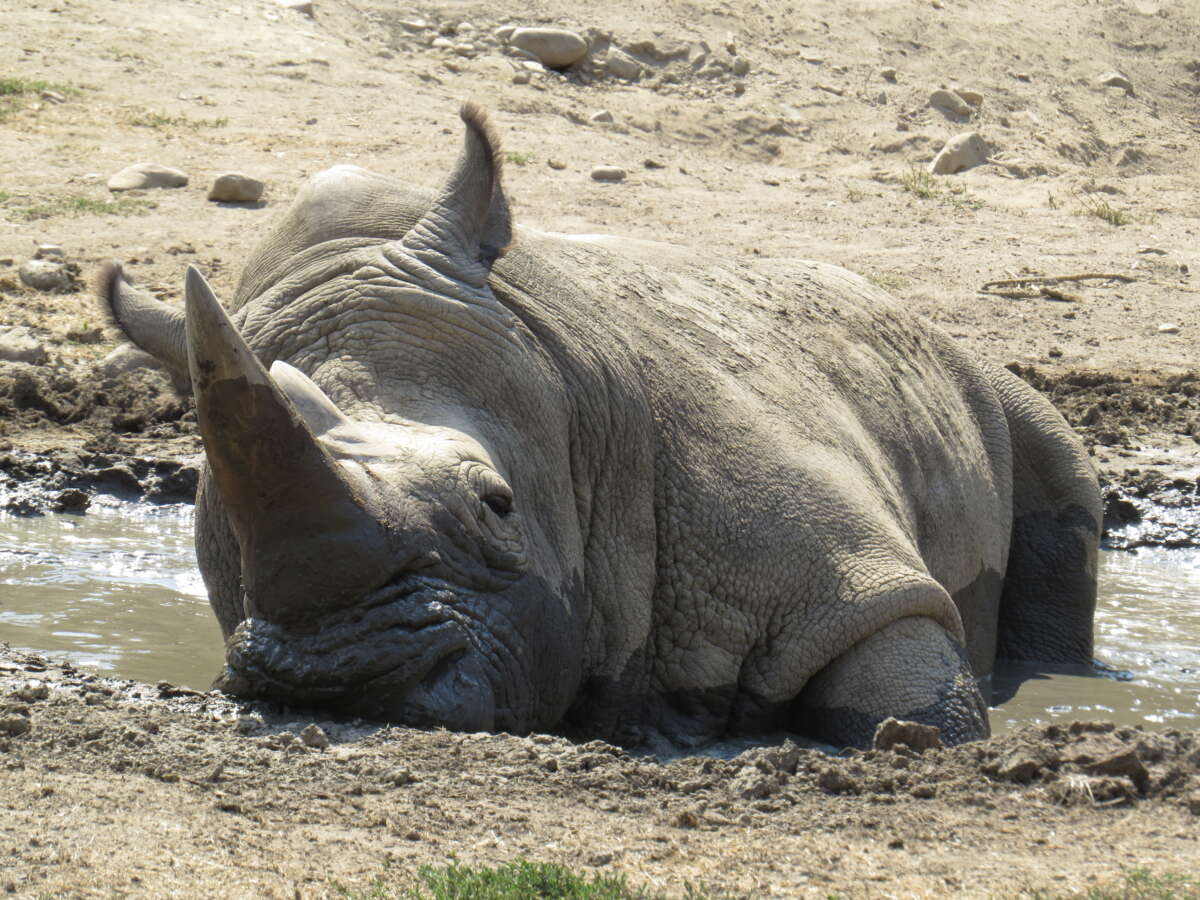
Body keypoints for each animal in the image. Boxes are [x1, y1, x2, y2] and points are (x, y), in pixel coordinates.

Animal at [99, 104, 1100, 749]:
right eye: (228, 546)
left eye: (499, 505)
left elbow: (915, 702)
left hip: (970, 366)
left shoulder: (854, 585)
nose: (336, 678)